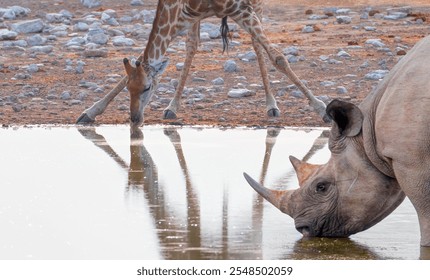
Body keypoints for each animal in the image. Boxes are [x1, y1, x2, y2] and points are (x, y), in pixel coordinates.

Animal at [77, 0, 328, 128]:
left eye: (148, 88)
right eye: (130, 89)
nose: (135, 118)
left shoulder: (242, 9)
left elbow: (278, 57)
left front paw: (321, 108)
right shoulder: (185, 18)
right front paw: (90, 112)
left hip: (256, 5)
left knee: (258, 46)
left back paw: (272, 105)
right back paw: (172, 107)